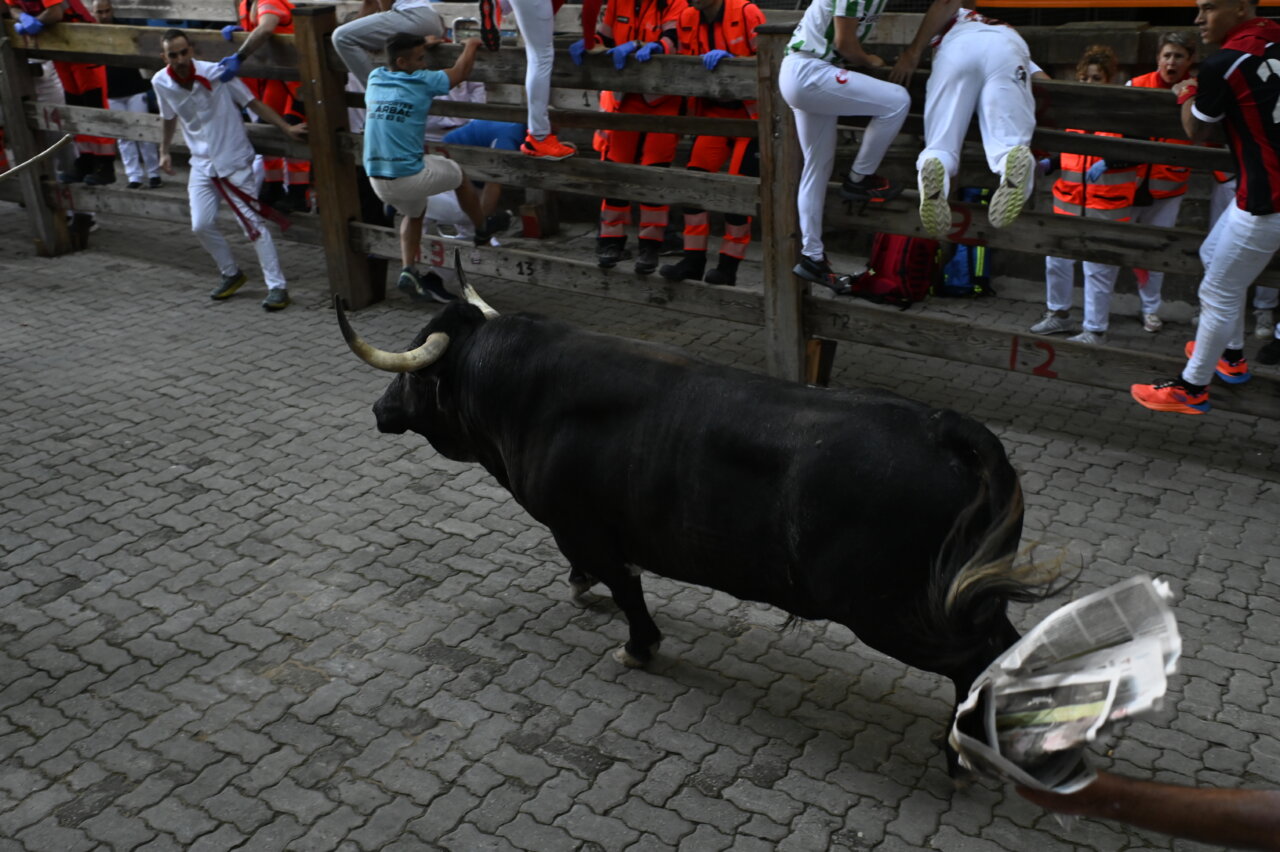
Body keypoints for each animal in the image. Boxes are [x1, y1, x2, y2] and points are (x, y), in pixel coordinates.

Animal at [336, 273, 1059, 772]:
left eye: (417, 374)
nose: (377, 408)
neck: (521, 395)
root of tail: (946, 427)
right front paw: (583, 588)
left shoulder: (585, 525)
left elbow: (626, 587)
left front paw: (637, 644)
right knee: (1003, 644)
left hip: (898, 610)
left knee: (977, 658)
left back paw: (959, 753)